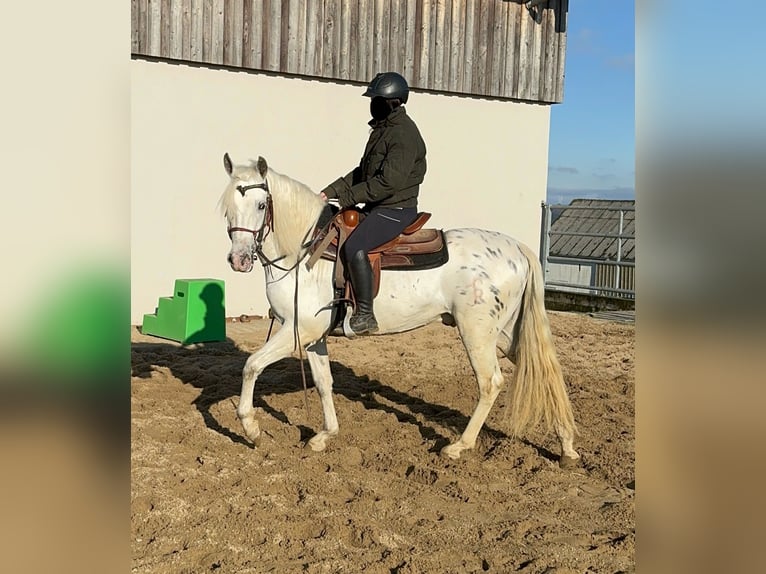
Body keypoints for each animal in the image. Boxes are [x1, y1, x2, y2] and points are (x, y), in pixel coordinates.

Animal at [219, 154, 580, 468]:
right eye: (228, 209)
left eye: (261, 205)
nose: (239, 260)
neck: (306, 249)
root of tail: (517, 248)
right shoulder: (313, 336)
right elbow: (323, 382)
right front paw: (325, 435)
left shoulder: (298, 331)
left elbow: (252, 366)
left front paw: (251, 428)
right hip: (504, 334)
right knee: (545, 372)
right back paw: (567, 447)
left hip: (476, 332)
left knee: (490, 382)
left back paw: (459, 446)